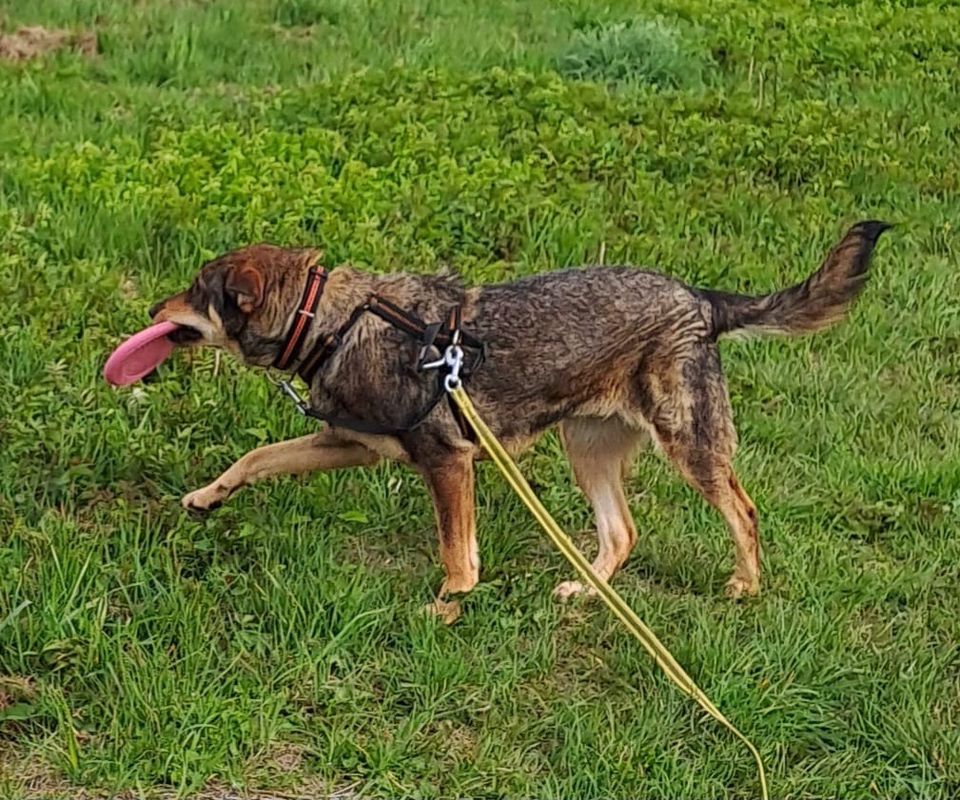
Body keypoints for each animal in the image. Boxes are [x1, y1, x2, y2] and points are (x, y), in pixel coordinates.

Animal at [150, 222, 892, 604]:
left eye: (196, 289)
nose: (153, 310)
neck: (335, 322)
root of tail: (701, 299)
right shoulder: (350, 443)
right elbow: (257, 457)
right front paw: (206, 497)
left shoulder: (448, 463)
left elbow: (458, 556)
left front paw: (448, 609)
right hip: (586, 451)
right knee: (622, 532)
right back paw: (589, 596)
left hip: (689, 445)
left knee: (742, 509)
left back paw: (745, 585)